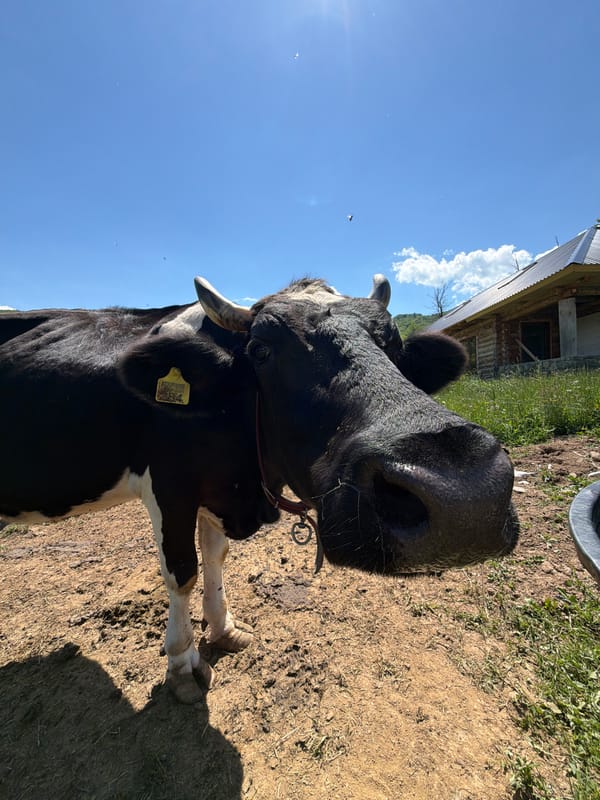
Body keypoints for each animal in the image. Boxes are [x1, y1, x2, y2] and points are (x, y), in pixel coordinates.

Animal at [0, 275, 518, 703]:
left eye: (395, 347)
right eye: (261, 351)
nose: (464, 493)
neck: (245, 476)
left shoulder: (215, 493)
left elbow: (215, 556)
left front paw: (224, 629)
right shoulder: (169, 487)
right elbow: (181, 572)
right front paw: (182, 665)